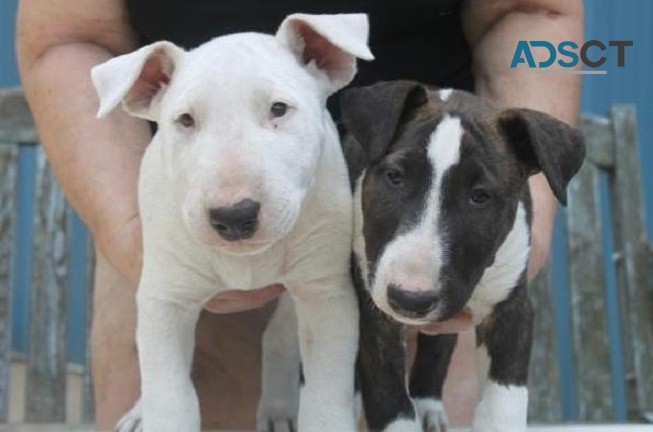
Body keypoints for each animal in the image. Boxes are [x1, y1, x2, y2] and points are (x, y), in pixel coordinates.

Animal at [94, 13, 374, 432]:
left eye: (279, 109)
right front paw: (154, 410)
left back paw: (278, 407)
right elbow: (170, 394)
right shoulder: (165, 297)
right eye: (185, 120)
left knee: (280, 334)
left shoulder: (326, 293)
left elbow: (325, 396)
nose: (234, 216)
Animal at [338, 81, 584, 432]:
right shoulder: (375, 315)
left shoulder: (512, 309)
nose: (410, 300)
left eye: (479, 196)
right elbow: (391, 402)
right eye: (395, 176)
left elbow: (502, 405)